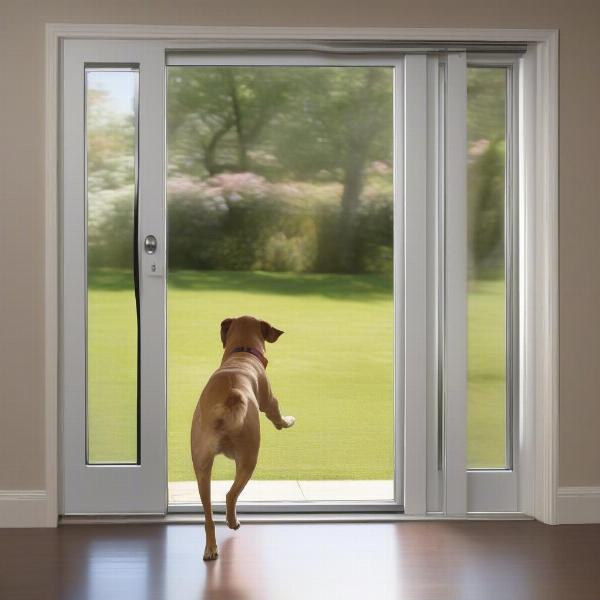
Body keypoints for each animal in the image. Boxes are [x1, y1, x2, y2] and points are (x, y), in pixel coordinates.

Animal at [190, 316, 296, 560]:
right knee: (231, 494)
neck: (242, 353)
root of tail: (228, 400)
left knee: (209, 516)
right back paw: (232, 522)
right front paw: (287, 421)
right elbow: (277, 415)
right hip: (249, 458)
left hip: (201, 465)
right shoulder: (270, 402)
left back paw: (211, 548)